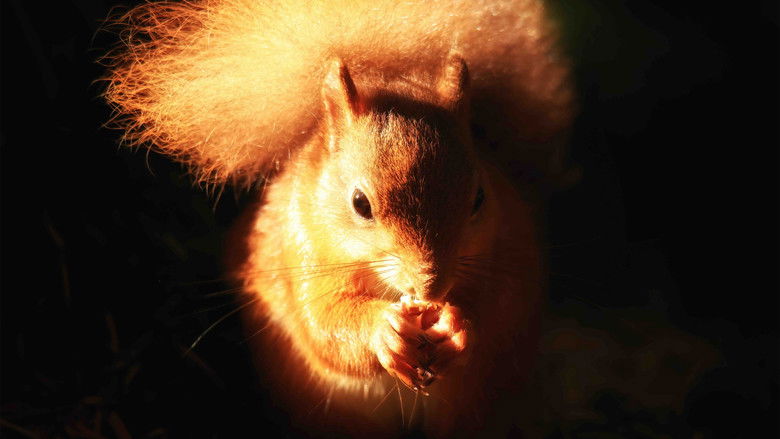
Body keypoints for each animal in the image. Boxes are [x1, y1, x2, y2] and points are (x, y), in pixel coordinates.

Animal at [102, 0, 573, 436]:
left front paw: (457, 326)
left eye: (478, 198)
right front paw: (384, 330)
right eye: (360, 203)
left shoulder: (507, 252)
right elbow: (324, 322)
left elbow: (496, 314)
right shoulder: (299, 250)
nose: (431, 287)